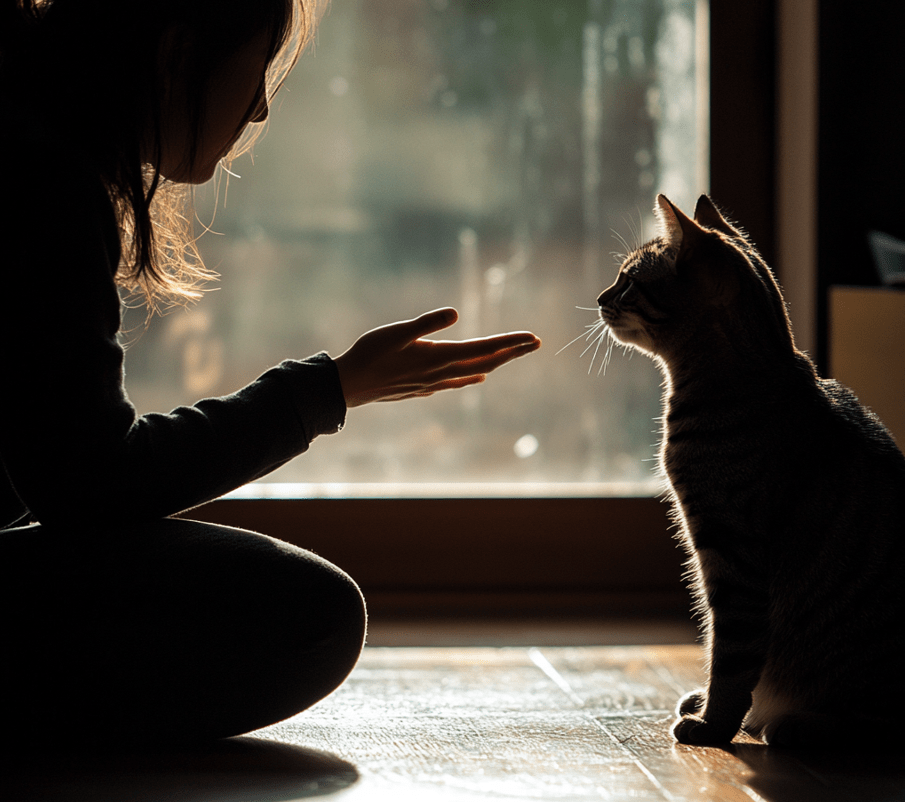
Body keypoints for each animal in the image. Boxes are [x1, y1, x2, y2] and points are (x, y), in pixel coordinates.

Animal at [596, 197, 904, 748]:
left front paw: (714, 724)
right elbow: (724, 653)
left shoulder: (730, 552)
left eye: (629, 281)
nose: (598, 298)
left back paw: (795, 723)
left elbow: (731, 655)